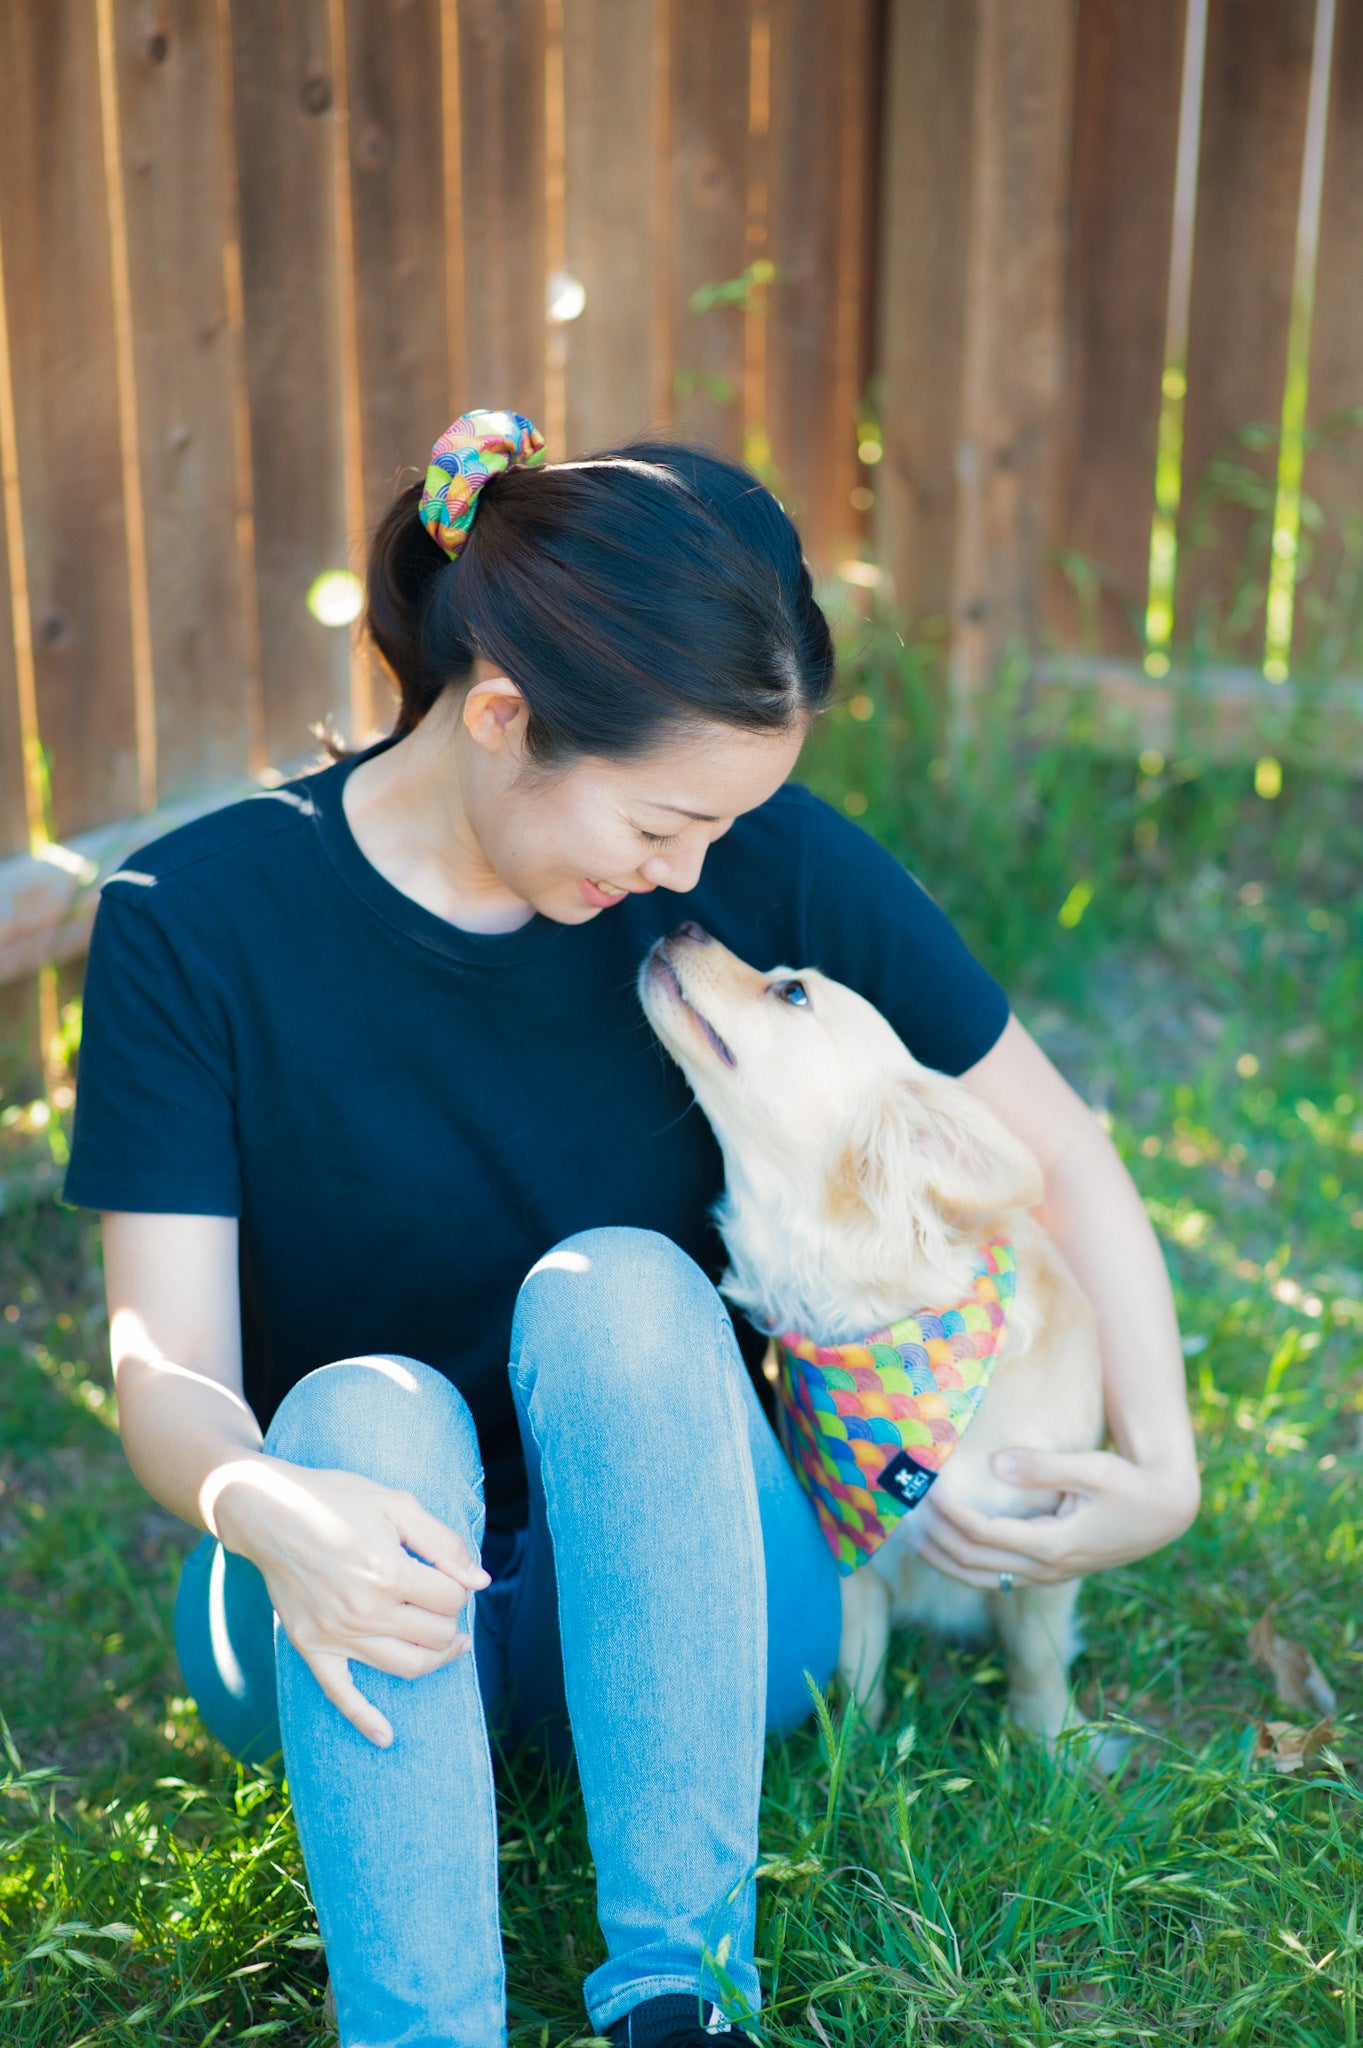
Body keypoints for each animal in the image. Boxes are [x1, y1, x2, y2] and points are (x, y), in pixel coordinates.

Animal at [634, 925, 1105, 1761]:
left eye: (791, 991)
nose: (679, 924)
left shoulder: (1045, 1549)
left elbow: (1038, 1658)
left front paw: (1051, 1749)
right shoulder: (850, 1559)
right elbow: (858, 1668)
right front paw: (849, 1756)